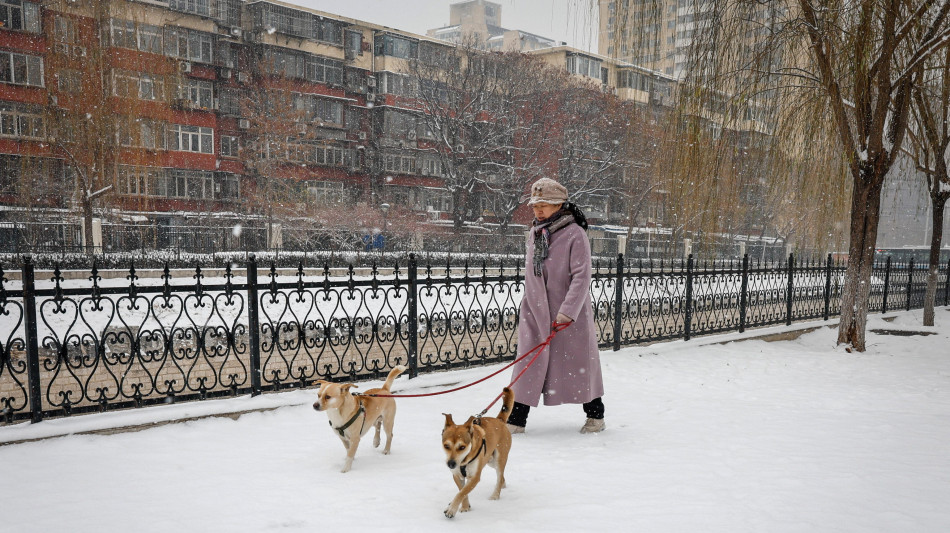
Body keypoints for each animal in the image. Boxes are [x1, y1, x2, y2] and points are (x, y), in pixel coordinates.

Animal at [442, 386, 516, 516]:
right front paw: (465, 506)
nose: (451, 464)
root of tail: (500, 420)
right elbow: (462, 491)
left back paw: (495, 495)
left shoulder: (475, 477)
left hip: (499, 459)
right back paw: (503, 485)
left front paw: (451, 509)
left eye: (462, 447)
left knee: (499, 476)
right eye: (446, 446)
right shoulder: (457, 475)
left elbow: (462, 492)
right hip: (489, 461)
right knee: (502, 477)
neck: (463, 461)